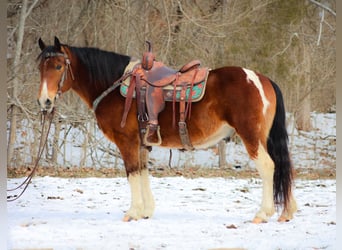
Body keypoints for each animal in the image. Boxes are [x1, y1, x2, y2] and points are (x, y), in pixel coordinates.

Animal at [35, 36, 296, 223]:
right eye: (40, 67)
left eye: (58, 66)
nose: (45, 101)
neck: (113, 86)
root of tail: (262, 79)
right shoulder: (141, 143)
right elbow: (143, 172)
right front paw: (146, 211)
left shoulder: (127, 142)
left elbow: (132, 173)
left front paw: (133, 212)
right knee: (282, 165)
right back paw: (287, 212)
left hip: (251, 136)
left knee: (268, 166)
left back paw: (262, 214)